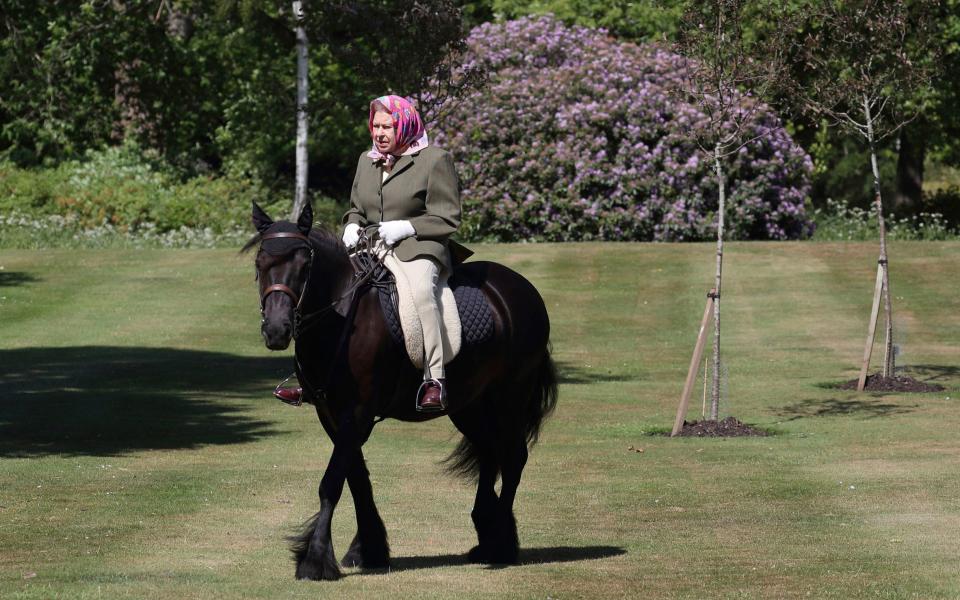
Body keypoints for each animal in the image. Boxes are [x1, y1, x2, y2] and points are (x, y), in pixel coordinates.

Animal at [248, 203, 560, 580]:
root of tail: (521, 288)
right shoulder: (331, 414)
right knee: (490, 453)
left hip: (509, 397)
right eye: (260, 263)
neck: (342, 317)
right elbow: (357, 479)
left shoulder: (357, 413)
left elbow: (332, 482)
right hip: (469, 404)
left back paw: (501, 543)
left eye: (304, 265)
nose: (277, 331)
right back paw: (487, 537)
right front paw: (368, 549)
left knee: (513, 458)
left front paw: (315, 559)